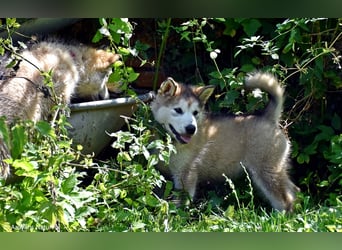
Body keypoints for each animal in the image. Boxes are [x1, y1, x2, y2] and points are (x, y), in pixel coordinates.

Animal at [151, 73, 298, 213]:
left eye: (195, 113)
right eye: (178, 110)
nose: (191, 129)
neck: (171, 143)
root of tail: (267, 117)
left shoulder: (186, 174)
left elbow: (180, 203)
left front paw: (174, 216)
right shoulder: (163, 173)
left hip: (266, 171)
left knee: (284, 199)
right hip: (276, 168)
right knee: (293, 189)